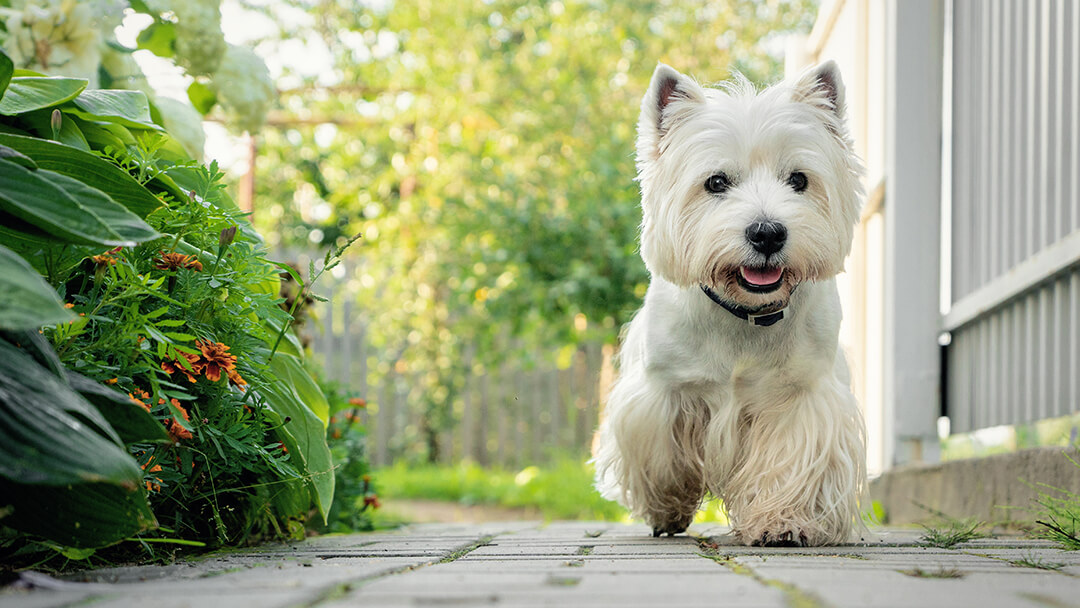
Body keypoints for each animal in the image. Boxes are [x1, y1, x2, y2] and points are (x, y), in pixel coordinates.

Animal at [596, 60, 864, 546]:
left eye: (799, 179)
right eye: (716, 182)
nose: (767, 232)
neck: (745, 314)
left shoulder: (800, 394)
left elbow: (789, 460)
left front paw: (783, 522)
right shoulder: (663, 392)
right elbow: (663, 457)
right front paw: (667, 507)